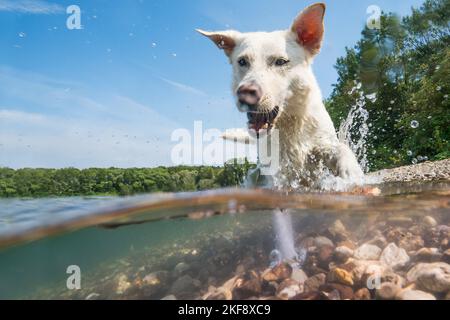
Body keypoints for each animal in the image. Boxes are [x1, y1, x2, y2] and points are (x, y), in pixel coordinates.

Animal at [199, 2, 364, 188]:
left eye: (280, 61)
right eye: (242, 61)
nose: (245, 93)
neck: (289, 122)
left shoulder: (322, 143)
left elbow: (340, 149)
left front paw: (351, 171)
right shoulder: (279, 171)